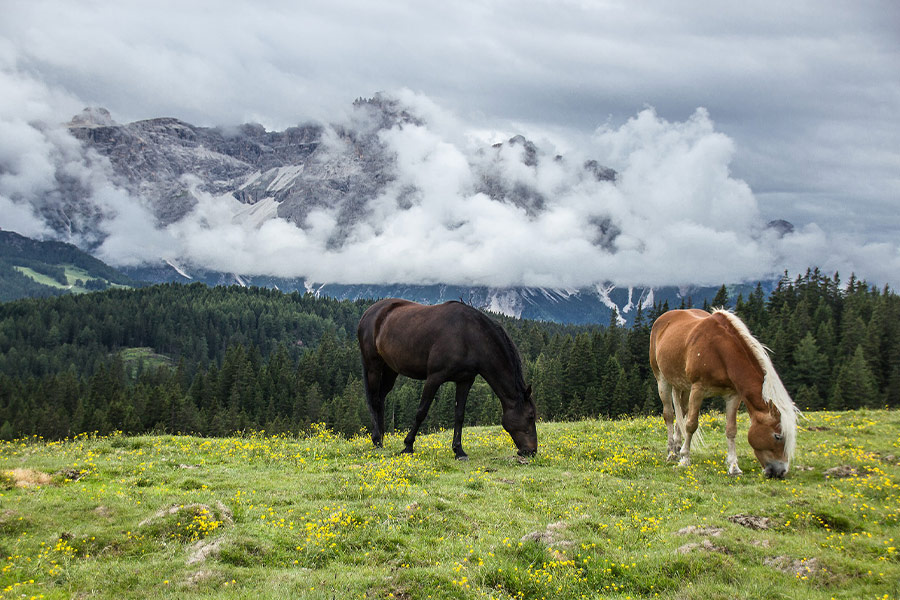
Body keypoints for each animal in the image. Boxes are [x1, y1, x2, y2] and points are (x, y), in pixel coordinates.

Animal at [357, 298, 537, 459]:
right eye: (530, 416)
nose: (531, 451)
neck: (469, 336)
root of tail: (369, 313)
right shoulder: (434, 378)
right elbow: (421, 412)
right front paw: (408, 445)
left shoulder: (465, 380)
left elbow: (459, 415)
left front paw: (459, 451)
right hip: (373, 366)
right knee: (374, 400)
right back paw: (377, 441)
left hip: (391, 370)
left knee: (381, 399)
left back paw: (381, 439)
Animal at [649, 308, 799, 478]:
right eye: (777, 436)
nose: (780, 471)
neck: (720, 351)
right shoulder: (698, 389)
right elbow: (691, 424)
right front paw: (685, 459)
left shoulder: (733, 395)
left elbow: (731, 430)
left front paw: (734, 467)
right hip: (662, 379)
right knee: (669, 415)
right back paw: (672, 453)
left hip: (684, 386)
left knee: (682, 412)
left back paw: (676, 447)